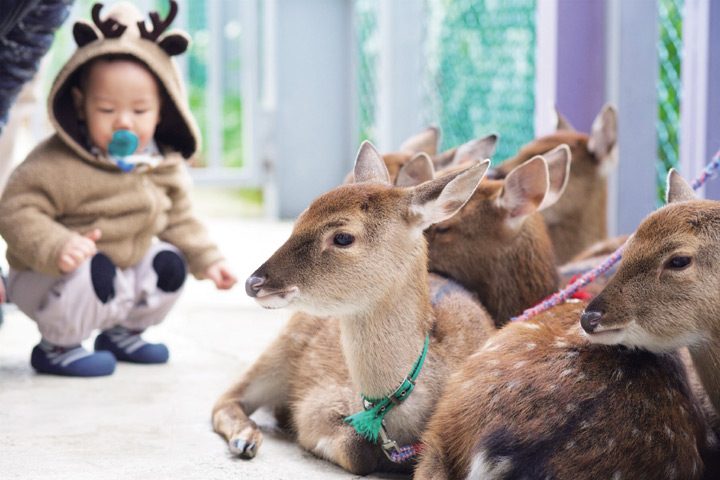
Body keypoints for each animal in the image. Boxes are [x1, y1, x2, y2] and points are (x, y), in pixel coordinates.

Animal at [211, 141, 498, 474]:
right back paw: (245, 440)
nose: (253, 282)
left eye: (343, 237)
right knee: (226, 399)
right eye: (298, 221)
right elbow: (357, 449)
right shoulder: (318, 402)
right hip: (280, 349)